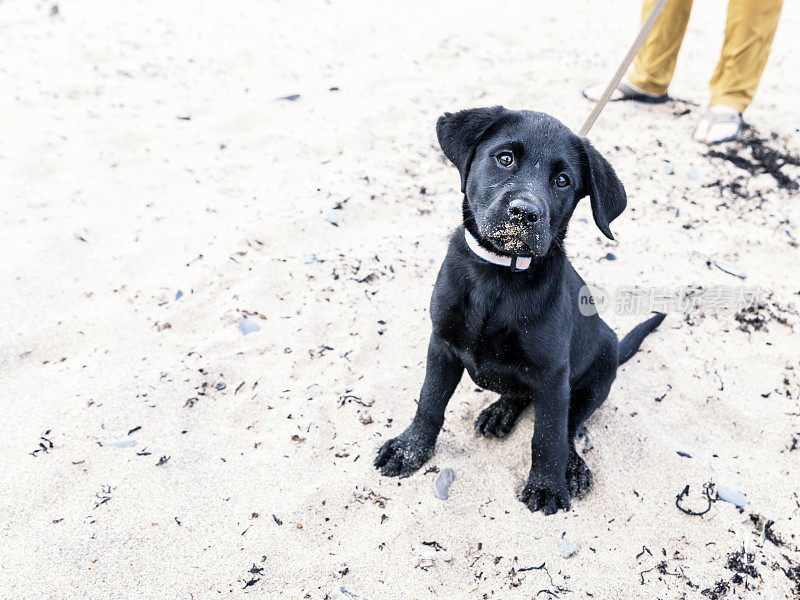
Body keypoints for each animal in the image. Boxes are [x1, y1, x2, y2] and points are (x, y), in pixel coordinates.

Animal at [374, 105, 664, 512]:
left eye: (562, 180)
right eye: (505, 158)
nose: (524, 213)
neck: (498, 277)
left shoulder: (553, 373)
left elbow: (548, 436)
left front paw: (546, 486)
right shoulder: (441, 345)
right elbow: (429, 402)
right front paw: (410, 448)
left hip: (601, 368)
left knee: (571, 424)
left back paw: (571, 466)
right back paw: (500, 412)